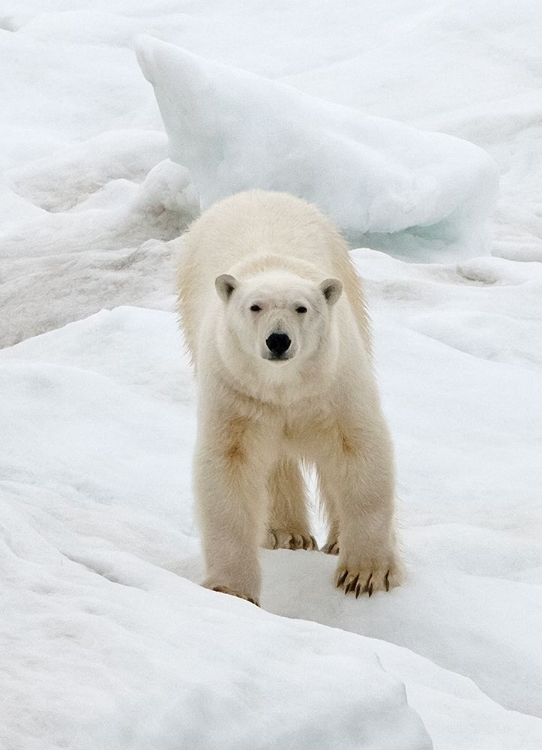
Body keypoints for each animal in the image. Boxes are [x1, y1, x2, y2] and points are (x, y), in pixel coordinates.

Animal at [178, 191, 404, 608]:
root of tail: (255, 192)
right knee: (276, 463)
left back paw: (332, 541)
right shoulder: (236, 393)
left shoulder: (334, 384)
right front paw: (231, 589)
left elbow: (358, 450)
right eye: (255, 307)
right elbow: (229, 467)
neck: (286, 388)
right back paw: (288, 534)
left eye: (302, 307)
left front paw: (364, 574)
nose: (278, 340)